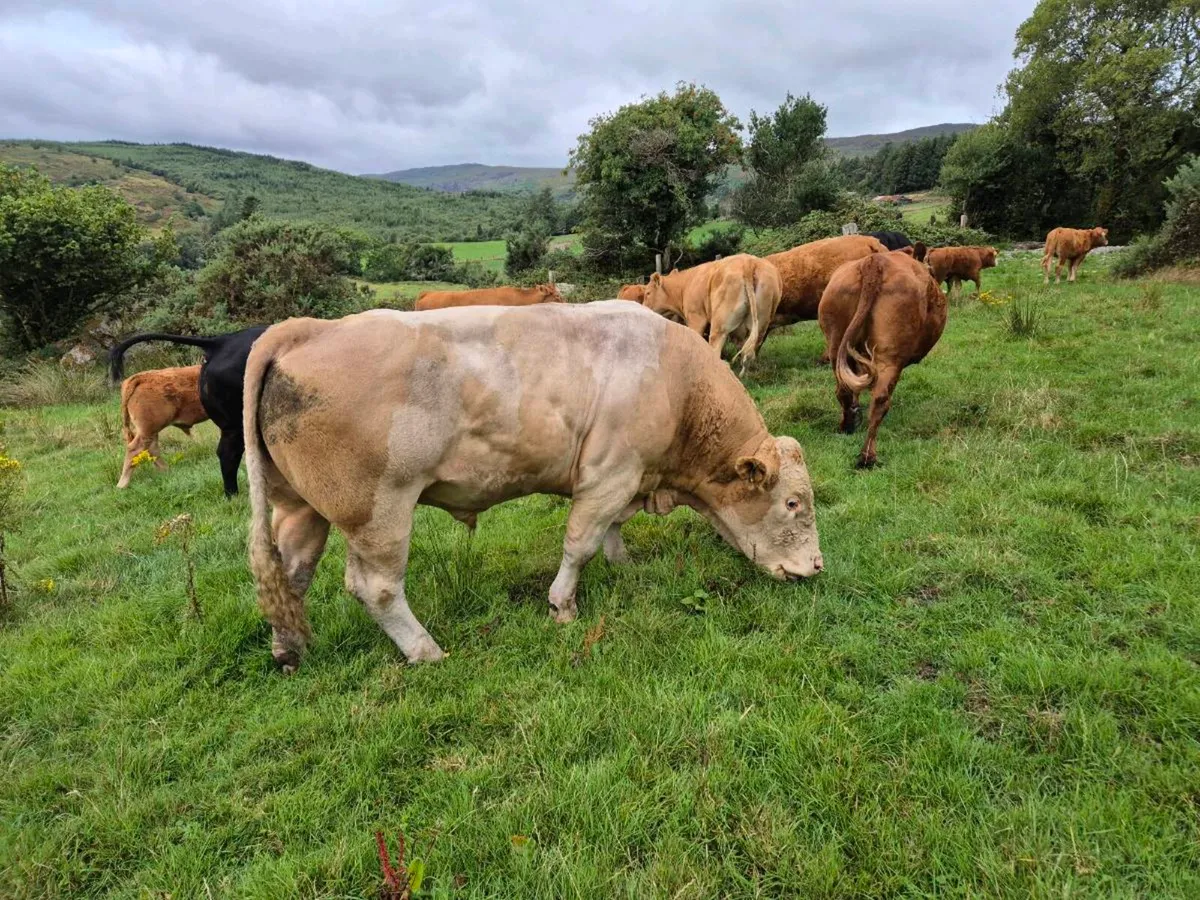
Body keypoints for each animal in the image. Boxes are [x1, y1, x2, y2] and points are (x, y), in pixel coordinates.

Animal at [109, 327, 266, 497]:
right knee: (135, 448)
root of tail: (138, 377)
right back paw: (122, 484)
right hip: (151, 428)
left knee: (151, 448)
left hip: (150, 430)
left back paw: (166, 471)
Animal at [243, 301, 823, 671]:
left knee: (290, 575)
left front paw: (623, 563)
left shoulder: (624, 479)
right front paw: (562, 607)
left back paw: (289, 650)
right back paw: (426, 651)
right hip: (379, 509)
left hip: (300, 507)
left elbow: (611, 532)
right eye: (793, 503)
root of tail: (308, 328)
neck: (677, 383)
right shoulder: (609, 474)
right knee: (376, 587)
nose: (816, 567)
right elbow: (580, 543)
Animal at [641, 254, 782, 373]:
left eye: (648, 293)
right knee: (749, 352)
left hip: (719, 326)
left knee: (715, 349)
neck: (684, 286)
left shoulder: (696, 318)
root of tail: (748, 262)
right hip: (761, 323)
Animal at [819, 250, 947, 469]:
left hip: (835, 341)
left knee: (843, 388)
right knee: (880, 398)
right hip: (890, 355)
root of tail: (875, 261)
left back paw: (847, 425)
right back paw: (867, 457)